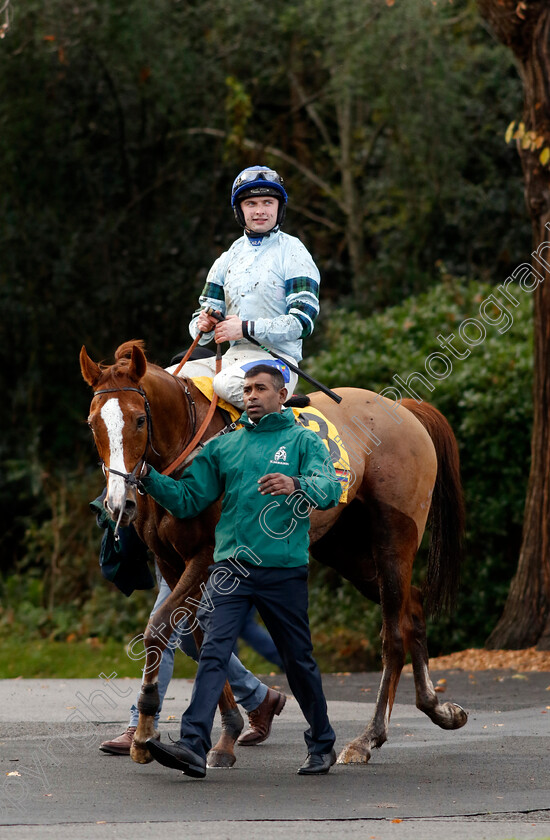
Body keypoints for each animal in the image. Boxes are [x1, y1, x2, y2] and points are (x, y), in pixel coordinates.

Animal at [81, 342, 470, 768]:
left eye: (138, 420)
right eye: (93, 424)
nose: (118, 503)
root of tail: (402, 408)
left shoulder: (208, 558)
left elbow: (161, 628)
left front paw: (147, 732)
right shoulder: (170, 562)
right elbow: (197, 635)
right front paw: (224, 734)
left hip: (394, 538)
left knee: (393, 633)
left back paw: (368, 738)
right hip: (345, 549)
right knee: (412, 606)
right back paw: (436, 707)